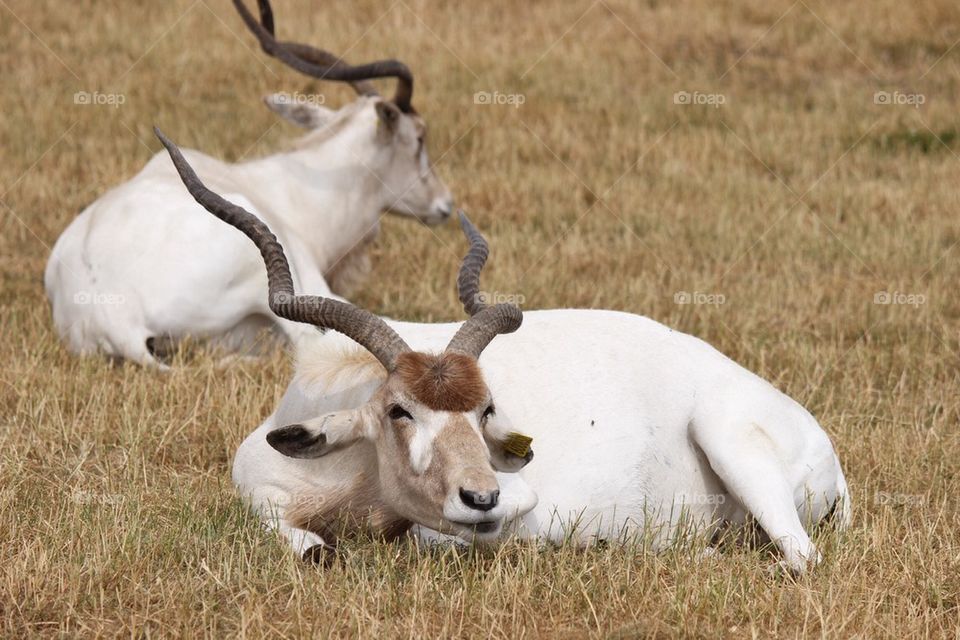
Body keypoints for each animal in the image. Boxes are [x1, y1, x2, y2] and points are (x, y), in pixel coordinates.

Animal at [157, 131, 851, 575]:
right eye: (399, 410)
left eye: (485, 410)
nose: (481, 498)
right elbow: (306, 546)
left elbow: (434, 539)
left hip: (728, 440)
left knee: (800, 559)